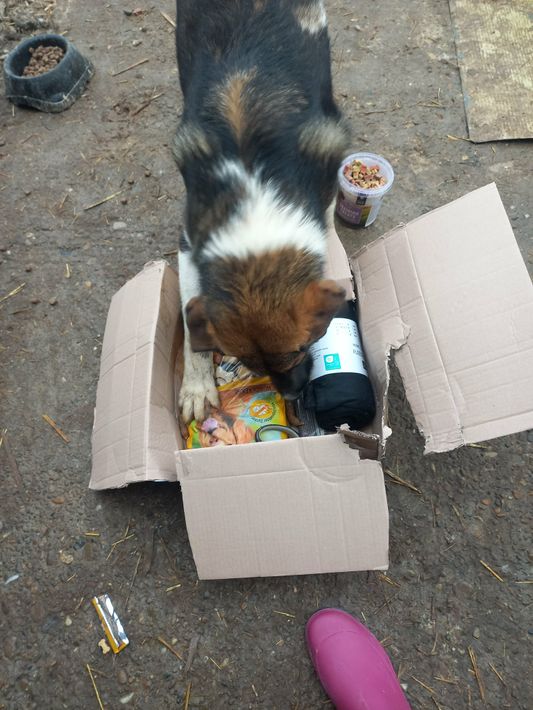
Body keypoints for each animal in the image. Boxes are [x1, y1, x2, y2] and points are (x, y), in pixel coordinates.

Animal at [174, 0, 349, 422]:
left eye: (302, 348)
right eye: (247, 362)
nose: (292, 397)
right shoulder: (189, 242)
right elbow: (189, 330)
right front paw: (197, 385)